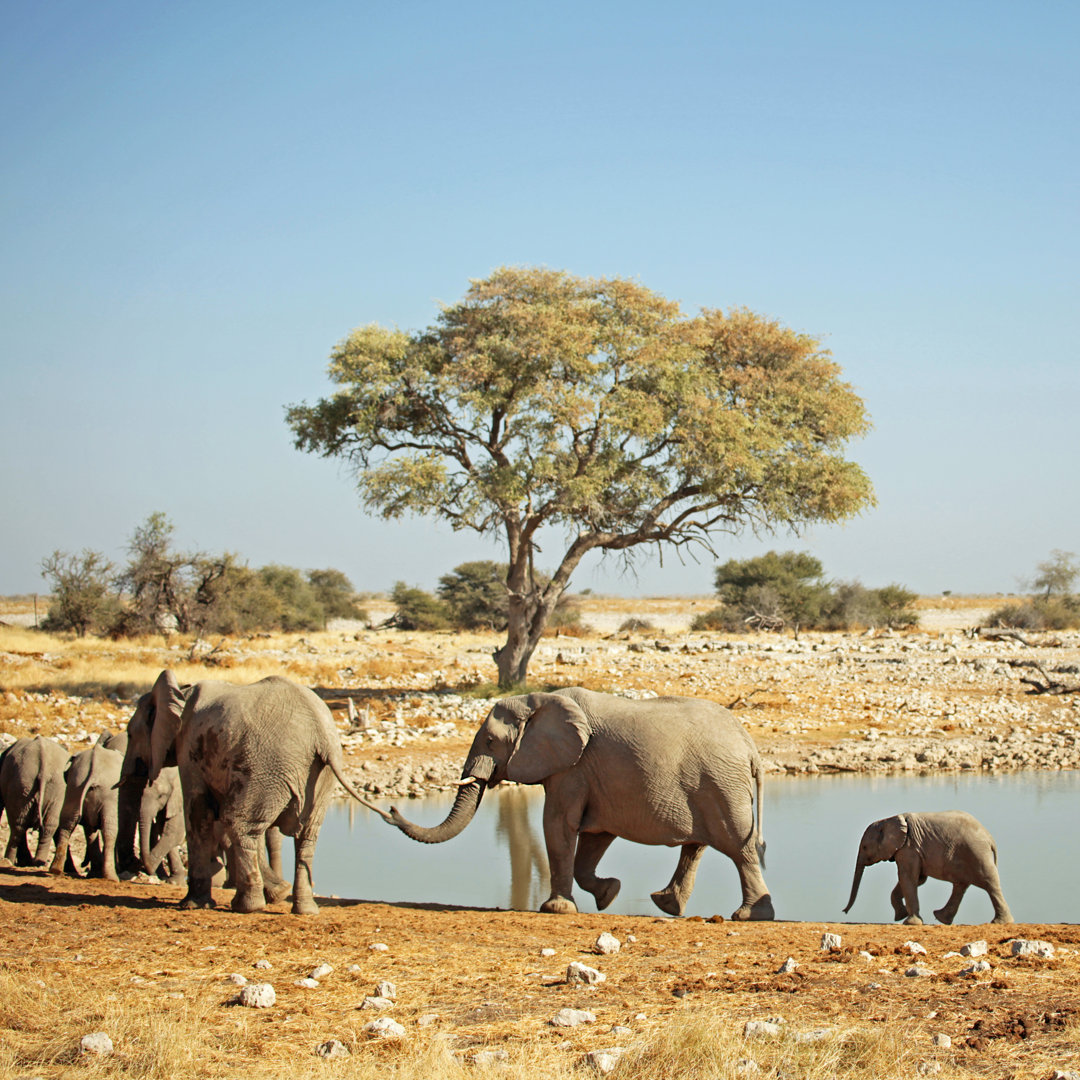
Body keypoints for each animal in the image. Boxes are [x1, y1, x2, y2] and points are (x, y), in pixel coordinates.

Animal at [0, 734, 71, 868]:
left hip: (26, 783)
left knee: (20, 825)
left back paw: (13, 861)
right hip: (48, 786)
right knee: (41, 826)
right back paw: (34, 863)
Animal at [50, 747, 123, 881]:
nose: (83, 864)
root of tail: (94, 771)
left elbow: (89, 829)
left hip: (76, 784)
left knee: (68, 821)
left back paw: (55, 869)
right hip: (109, 794)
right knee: (109, 829)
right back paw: (112, 878)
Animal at [121, 669, 388, 915]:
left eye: (130, 734)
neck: (180, 692)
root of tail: (320, 732)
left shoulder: (190, 749)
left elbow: (199, 813)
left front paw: (192, 905)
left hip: (267, 764)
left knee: (240, 825)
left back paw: (247, 907)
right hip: (314, 774)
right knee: (305, 835)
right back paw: (304, 910)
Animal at [388, 686, 777, 915]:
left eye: (489, 742)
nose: (390, 810)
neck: (538, 699)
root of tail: (749, 746)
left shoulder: (572, 768)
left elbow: (558, 825)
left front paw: (556, 910)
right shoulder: (593, 778)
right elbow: (593, 837)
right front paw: (608, 894)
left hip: (721, 784)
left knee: (739, 848)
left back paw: (748, 916)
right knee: (697, 846)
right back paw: (667, 905)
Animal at [842, 812, 1010, 928]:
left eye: (865, 847)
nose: (844, 911)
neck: (890, 820)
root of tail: (990, 838)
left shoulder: (909, 849)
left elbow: (908, 878)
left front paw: (909, 922)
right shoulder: (911, 850)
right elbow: (917, 880)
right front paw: (900, 916)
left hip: (976, 854)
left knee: (990, 884)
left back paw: (999, 922)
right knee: (961, 886)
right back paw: (942, 918)